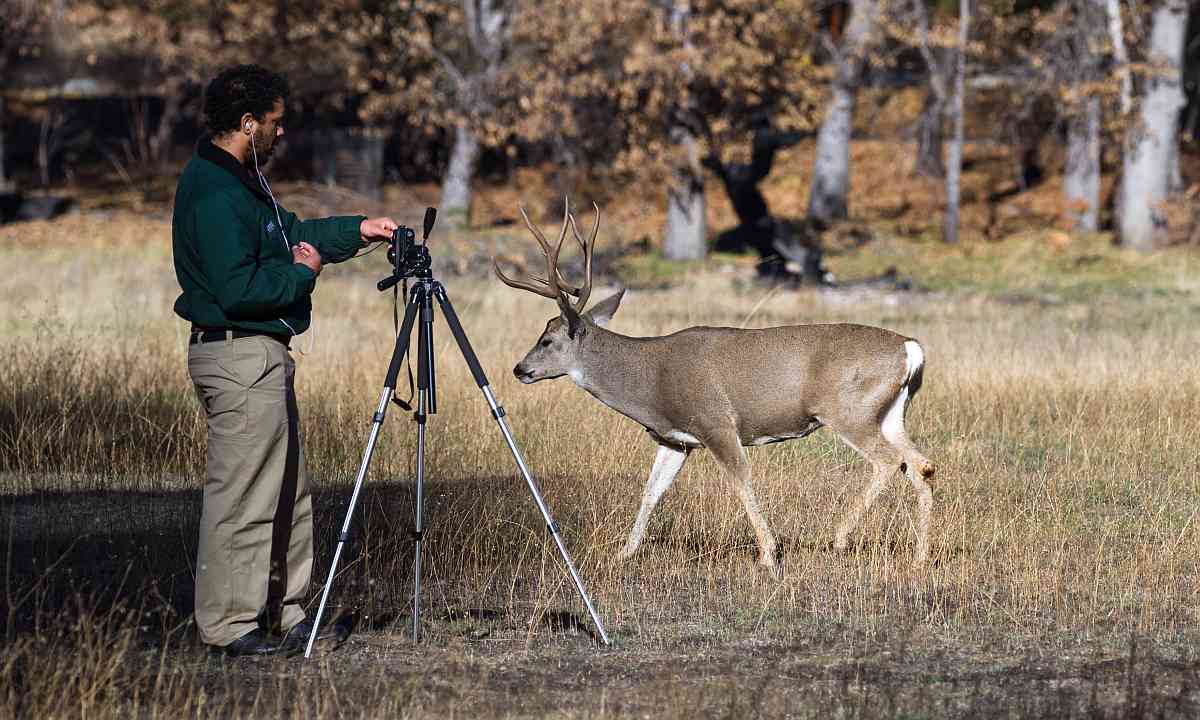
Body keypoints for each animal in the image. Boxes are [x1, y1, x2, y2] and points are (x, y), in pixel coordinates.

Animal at [494, 202, 936, 573]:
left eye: (547, 340)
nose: (519, 369)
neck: (650, 383)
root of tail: (910, 348)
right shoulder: (675, 438)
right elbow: (651, 491)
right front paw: (624, 552)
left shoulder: (716, 423)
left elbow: (741, 481)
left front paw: (768, 554)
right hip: (891, 412)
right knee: (920, 464)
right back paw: (920, 555)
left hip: (847, 409)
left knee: (888, 461)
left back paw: (840, 539)